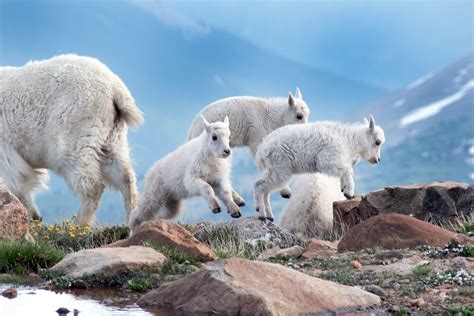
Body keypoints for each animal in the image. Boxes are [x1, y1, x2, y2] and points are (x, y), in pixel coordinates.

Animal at [0, 54, 144, 225]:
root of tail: (115, 89)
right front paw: (34, 216)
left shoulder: (5, 149)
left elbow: (16, 181)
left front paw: (31, 215)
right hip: (112, 137)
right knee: (124, 176)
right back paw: (130, 220)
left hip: (77, 132)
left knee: (91, 183)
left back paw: (79, 224)